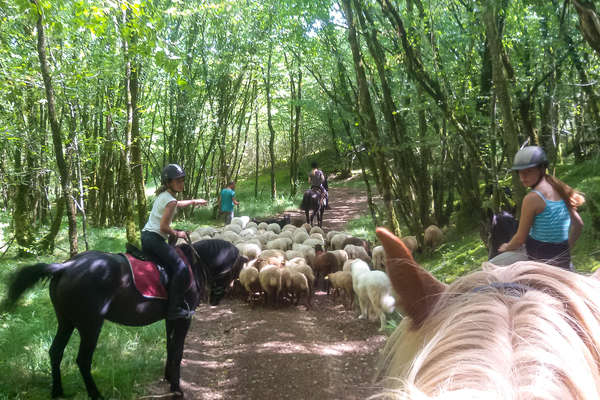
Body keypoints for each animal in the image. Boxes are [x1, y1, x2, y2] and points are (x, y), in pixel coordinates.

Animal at [1, 239, 244, 398]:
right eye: (236, 271)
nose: (217, 299)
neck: (193, 263)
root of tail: (66, 266)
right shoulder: (184, 319)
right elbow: (177, 351)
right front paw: (176, 387)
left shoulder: (171, 318)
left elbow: (170, 347)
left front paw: (167, 378)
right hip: (90, 325)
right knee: (83, 360)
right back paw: (96, 395)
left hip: (66, 321)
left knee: (55, 352)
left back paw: (58, 391)